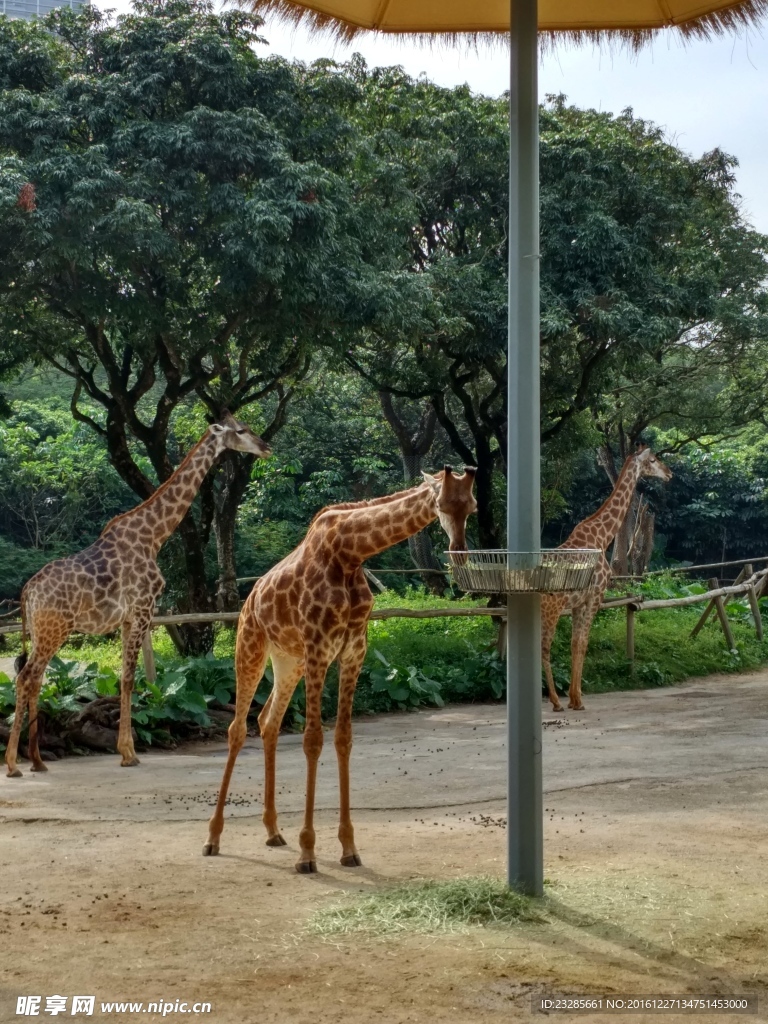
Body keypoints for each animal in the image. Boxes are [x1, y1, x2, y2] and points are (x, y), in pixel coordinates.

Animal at [5, 409, 270, 774]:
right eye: (241, 430)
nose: (266, 447)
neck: (154, 536)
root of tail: (27, 592)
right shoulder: (143, 610)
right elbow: (131, 679)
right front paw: (128, 753)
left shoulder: (128, 618)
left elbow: (125, 677)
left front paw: (125, 750)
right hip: (52, 630)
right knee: (26, 678)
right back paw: (14, 764)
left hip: (43, 632)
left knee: (35, 679)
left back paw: (37, 761)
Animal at [204, 464, 481, 872]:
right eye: (442, 505)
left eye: (471, 507)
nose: (459, 554)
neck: (350, 555)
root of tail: (249, 598)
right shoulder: (320, 648)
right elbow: (312, 740)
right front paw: (307, 853)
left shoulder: (353, 652)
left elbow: (343, 739)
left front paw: (349, 848)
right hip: (251, 646)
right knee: (237, 729)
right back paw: (213, 837)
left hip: (289, 660)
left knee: (268, 722)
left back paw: (273, 831)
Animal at [540, 448, 671, 712]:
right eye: (653, 460)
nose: (669, 473)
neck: (602, 537)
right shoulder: (595, 598)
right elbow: (583, 643)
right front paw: (577, 700)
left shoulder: (579, 603)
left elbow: (575, 644)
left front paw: (574, 698)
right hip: (551, 608)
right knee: (544, 648)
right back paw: (555, 702)